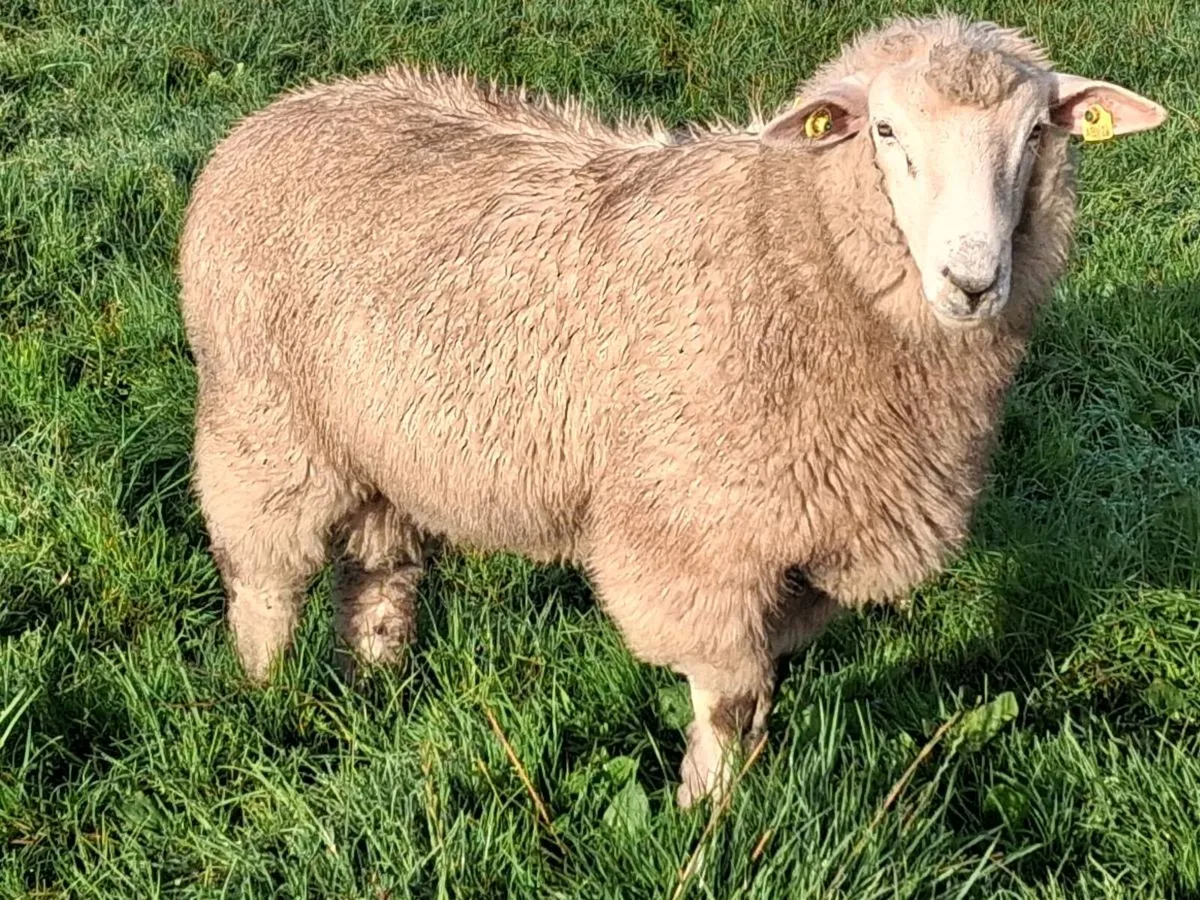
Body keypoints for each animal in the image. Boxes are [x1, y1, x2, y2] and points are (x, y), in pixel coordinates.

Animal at [178, 13, 1167, 808]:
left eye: (1037, 132)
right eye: (886, 131)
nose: (971, 281)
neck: (790, 249)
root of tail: (286, 108)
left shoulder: (805, 541)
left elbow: (765, 687)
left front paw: (731, 796)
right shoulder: (696, 534)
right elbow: (729, 698)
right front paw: (706, 820)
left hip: (380, 438)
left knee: (379, 571)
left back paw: (378, 687)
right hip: (264, 419)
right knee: (265, 575)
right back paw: (267, 697)